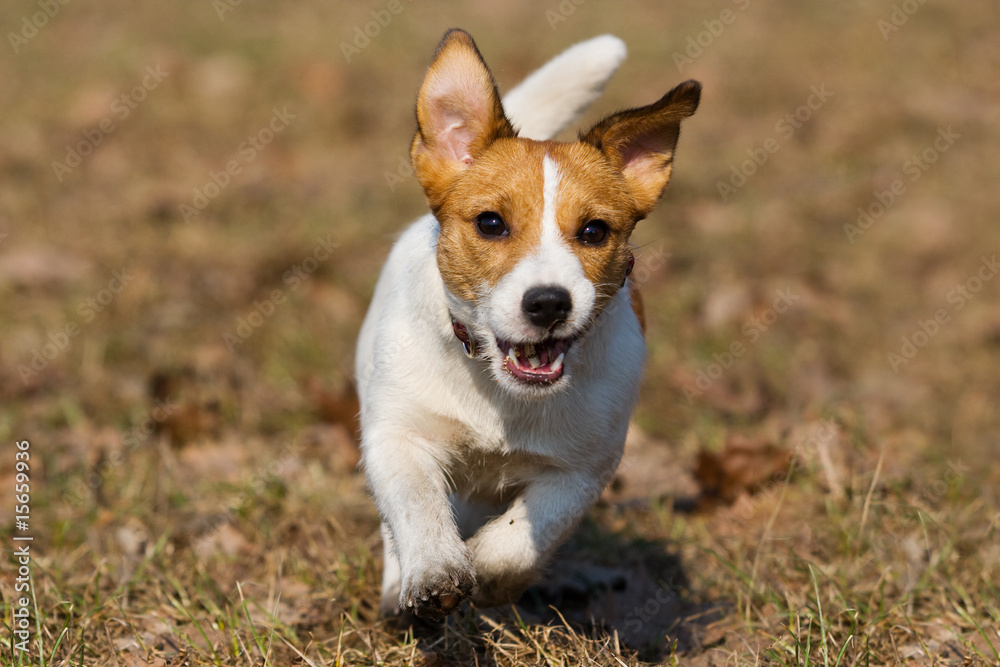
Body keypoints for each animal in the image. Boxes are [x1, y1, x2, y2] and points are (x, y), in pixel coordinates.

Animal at [356, 27, 700, 620]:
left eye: (594, 231)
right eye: (491, 223)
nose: (548, 303)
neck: (500, 393)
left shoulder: (584, 468)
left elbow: (522, 536)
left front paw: (488, 568)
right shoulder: (396, 435)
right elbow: (417, 504)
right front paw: (434, 570)